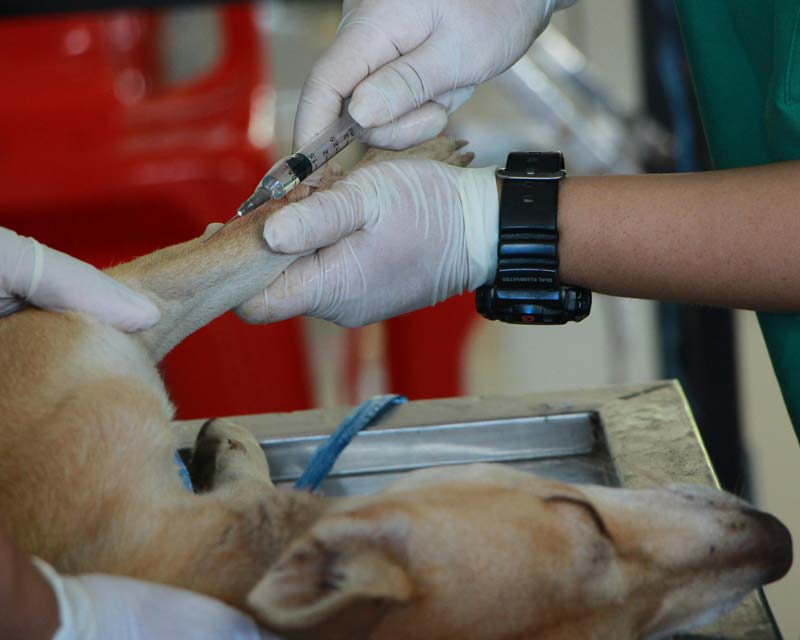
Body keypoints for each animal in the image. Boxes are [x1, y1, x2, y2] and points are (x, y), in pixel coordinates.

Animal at [0, 140, 792, 640]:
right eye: (578, 513)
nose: (775, 538)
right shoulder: (120, 310)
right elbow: (258, 229)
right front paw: (396, 159)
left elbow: (262, 230)